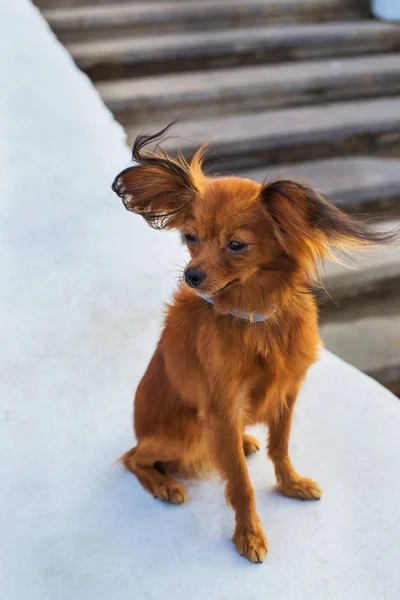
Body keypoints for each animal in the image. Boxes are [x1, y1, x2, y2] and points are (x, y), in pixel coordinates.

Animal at [111, 123, 396, 564]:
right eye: (190, 238)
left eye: (236, 245)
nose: (191, 276)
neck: (254, 319)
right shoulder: (223, 408)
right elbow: (241, 484)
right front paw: (249, 535)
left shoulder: (287, 394)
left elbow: (281, 447)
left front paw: (290, 484)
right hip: (185, 433)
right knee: (132, 458)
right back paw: (164, 485)